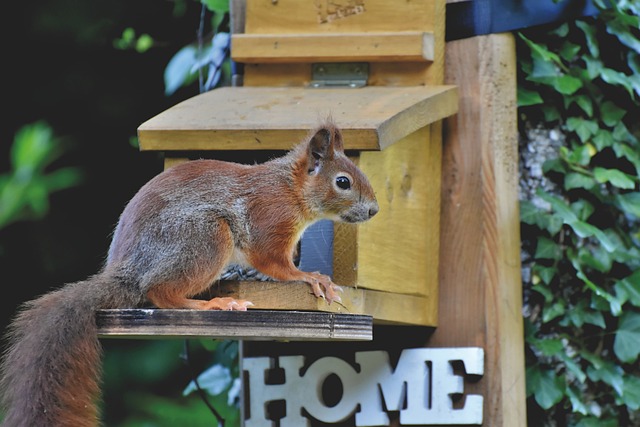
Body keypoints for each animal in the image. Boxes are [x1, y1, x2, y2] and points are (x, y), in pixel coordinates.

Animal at [0, 121, 378, 427]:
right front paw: (311, 278)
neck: (291, 190)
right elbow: (274, 264)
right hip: (205, 236)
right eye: (342, 182)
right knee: (160, 292)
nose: (374, 210)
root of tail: (128, 271)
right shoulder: (268, 221)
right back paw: (212, 304)